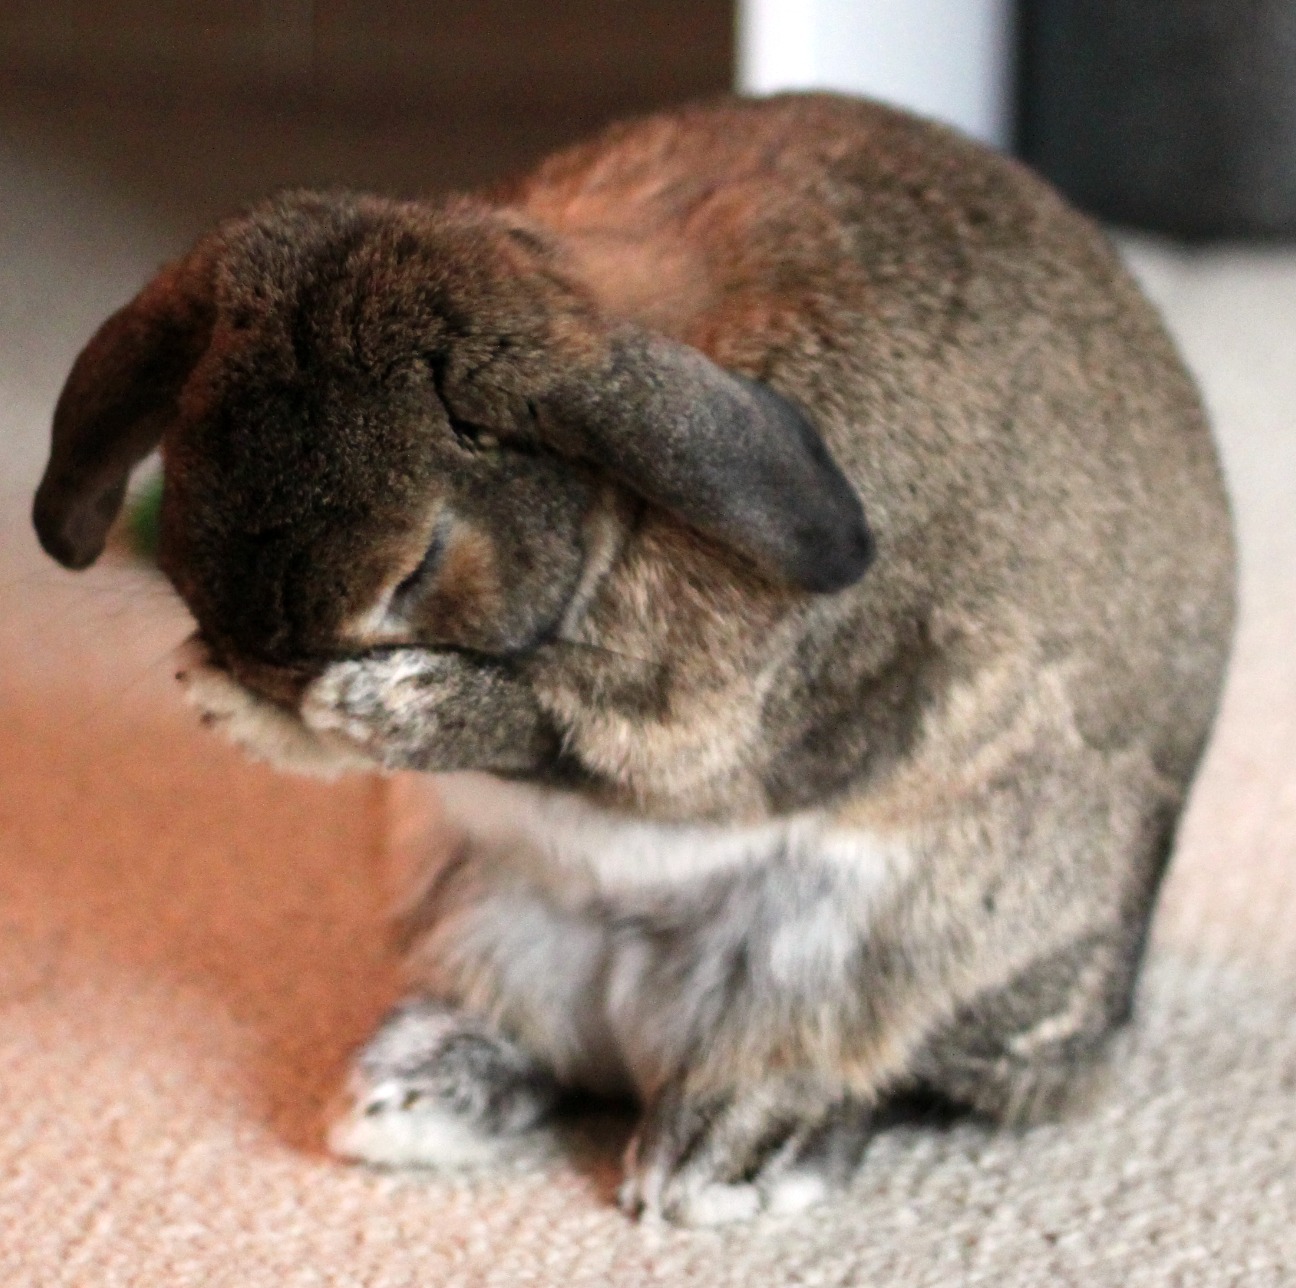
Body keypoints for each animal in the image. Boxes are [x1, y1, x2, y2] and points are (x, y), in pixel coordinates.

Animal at [35, 95, 1238, 1218]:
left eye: (420, 565)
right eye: (186, 458)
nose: (262, 656)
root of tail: (640, 1029)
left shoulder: (727, 727)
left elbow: (549, 738)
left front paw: (330, 712)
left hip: (898, 953)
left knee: (876, 1068)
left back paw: (727, 1157)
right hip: (473, 905)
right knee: (537, 1038)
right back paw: (409, 1100)